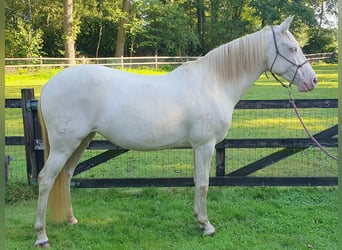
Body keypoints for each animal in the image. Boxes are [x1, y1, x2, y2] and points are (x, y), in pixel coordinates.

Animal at [33, 16, 316, 247]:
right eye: (293, 48)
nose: (312, 81)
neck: (214, 83)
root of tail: (50, 84)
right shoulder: (204, 146)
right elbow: (203, 184)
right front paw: (207, 227)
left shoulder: (196, 147)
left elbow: (196, 182)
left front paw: (199, 220)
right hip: (64, 145)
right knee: (46, 179)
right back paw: (41, 236)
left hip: (81, 141)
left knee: (66, 176)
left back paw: (71, 220)